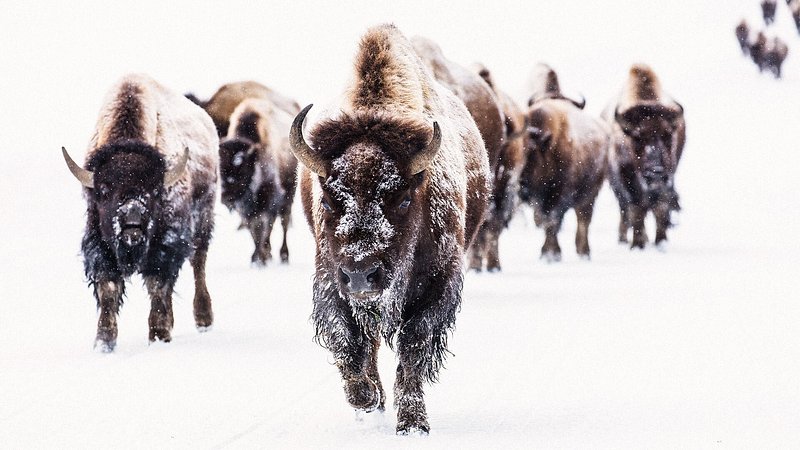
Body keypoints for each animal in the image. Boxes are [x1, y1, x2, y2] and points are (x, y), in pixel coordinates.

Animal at [61, 73, 219, 352]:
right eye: (103, 190)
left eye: (155, 190)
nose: (132, 224)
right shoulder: (99, 245)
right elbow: (108, 288)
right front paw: (104, 342)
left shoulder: (165, 246)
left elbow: (158, 285)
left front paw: (158, 335)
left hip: (203, 220)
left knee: (198, 263)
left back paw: (203, 320)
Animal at [220, 97, 298, 264]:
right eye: (219, 168)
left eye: (241, 168)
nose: (225, 197)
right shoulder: (246, 209)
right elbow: (253, 229)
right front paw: (259, 257)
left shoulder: (269, 200)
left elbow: (263, 227)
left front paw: (259, 258)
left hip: (289, 194)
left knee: (284, 221)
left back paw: (284, 255)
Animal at [288, 22, 488, 434]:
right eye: (328, 199)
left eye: (403, 198)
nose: (361, 274)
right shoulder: (331, 280)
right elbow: (347, 340)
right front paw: (365, 398)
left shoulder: (439, 284)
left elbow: (414, 346)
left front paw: (412, 423)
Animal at [520, 63, 608, 260]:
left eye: (531, 154)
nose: (520, 185)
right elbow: (546, 221)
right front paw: (548, 253)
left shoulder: (559, 195)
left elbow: (552, 221)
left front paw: (551, 254)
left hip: (590, 193)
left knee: (583, 219)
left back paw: (584, 251)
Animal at [604, 64, 684, 250]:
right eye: (637, 136)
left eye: (667, 134)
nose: (656, 172)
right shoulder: (627, 181)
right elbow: (636, 210)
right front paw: (638, 244)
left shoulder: (668, 178)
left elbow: (660, 208)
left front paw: (661, 242)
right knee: (625, 211)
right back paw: (624, 239)